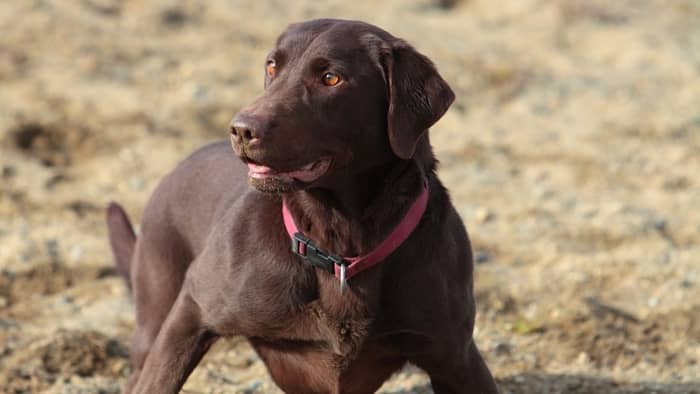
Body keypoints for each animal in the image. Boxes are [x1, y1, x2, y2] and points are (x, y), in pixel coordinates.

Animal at [106, 16, 498, 392]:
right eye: (272, 66)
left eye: (331, 78)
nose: (241, 130)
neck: (340, 243)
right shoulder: (192, 311)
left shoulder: (456, 356)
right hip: (155, 309)